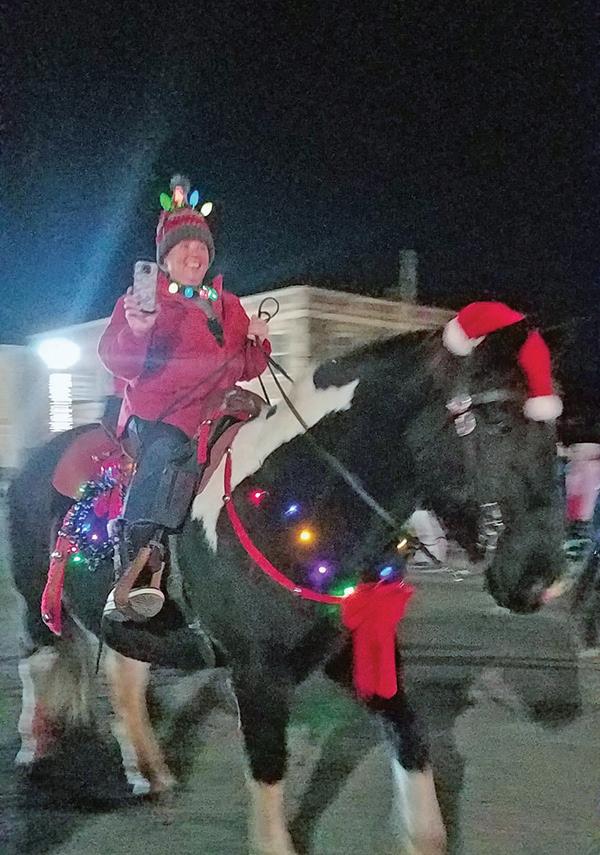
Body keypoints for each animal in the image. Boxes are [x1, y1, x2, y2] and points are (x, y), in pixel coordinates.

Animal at [8, 318, 564, 855]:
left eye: (555, 430)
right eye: (498, 423)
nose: (539, 578)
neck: (294, 504)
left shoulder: (356, 650)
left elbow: (409, 736)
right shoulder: (257, 675)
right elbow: (269, 768)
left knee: (125, 676)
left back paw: (149, 772)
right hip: (37, 596)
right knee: (37, 661)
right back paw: (33, 749)